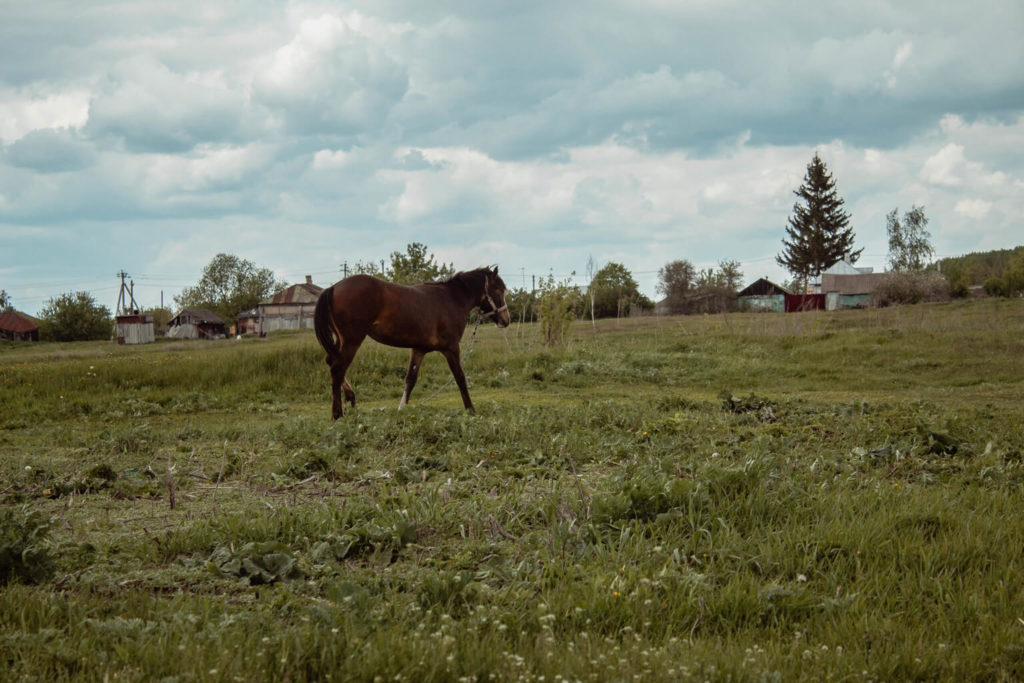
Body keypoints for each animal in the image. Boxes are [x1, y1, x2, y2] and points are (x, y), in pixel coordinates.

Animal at [307, 266, 507, 417]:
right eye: (498, 290)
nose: (506, 319)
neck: (451, 299)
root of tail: (333, 288)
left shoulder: (418, 349)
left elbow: (410, 379)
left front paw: (401, 408)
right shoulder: (451, 348)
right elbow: (460, 377)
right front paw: (470, 409)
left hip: (340, 340)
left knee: (331, 362)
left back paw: (350, 397)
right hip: (352, 340)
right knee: (337, 369)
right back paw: (337, 414)